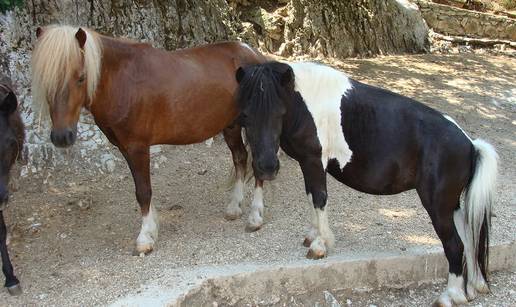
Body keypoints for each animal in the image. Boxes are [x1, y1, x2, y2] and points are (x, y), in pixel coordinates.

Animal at [31, 24, 266, 255]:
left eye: (80, 77)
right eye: (45, 80)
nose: (62, 137)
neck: (123, 81)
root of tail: (253, 54)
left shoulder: (138, 147)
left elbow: (143, 191)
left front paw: (144, 239)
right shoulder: (126, 148)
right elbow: (141, 189)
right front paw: (152, 229)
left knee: (258, 163)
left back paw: (255, 218)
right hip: (231, 126)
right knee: (240, 157)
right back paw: (234, 207)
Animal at [236, 60, 498, 307]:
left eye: (279, 113)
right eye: (245, 115)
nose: (267, 168)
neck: (305, 104)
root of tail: (470, 145)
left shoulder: (313, 161)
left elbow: (319, 198)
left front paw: (320, 245)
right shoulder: (306, 163)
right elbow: (311, 197)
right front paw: (313, 235)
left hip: (438, 207)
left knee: (455, 245)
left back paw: (451, 296)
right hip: (451, 206)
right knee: (469, 236)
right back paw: (472, 287)